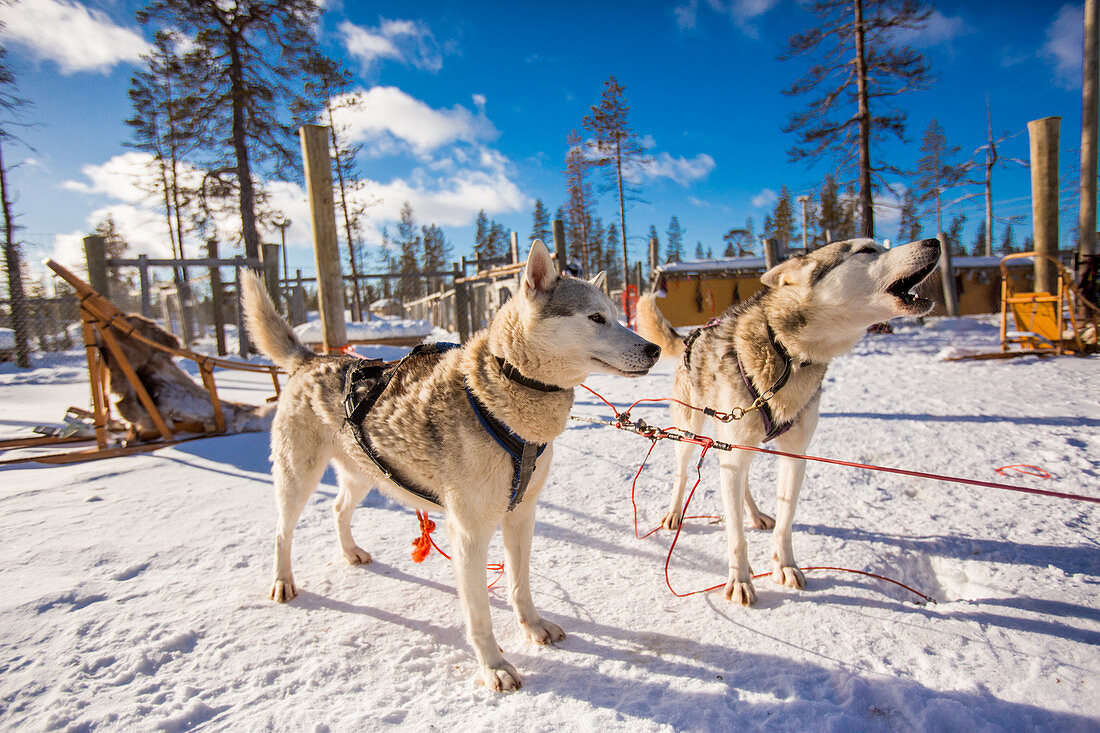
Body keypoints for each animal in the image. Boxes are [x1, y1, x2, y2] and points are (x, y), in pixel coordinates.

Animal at [240, 241, 655, 691]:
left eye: (616, 314)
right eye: (596, 318)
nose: (653, 349)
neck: (504, 391)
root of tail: (310, 359)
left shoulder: (521, 514)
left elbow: (519, 584)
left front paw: (532, 626)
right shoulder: (470, 532)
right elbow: (479, 616)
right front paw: (494, 666)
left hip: (364, 476)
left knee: (337, 509)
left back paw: (351, 553)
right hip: (297, 479)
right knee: (282, 532)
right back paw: (282, 582)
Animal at [642, 236, 941, 603]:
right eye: (866, 250)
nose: (934, 241)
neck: (788, 353)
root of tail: (691, 337)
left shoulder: (794, 456)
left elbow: (786, 521)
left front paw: (784, 566)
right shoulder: (735, 451)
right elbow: (735, 536)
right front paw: (740, 580)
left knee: (741, 483)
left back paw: (754, 514)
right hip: (690, 431)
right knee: (683, 474)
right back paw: (674, 513)